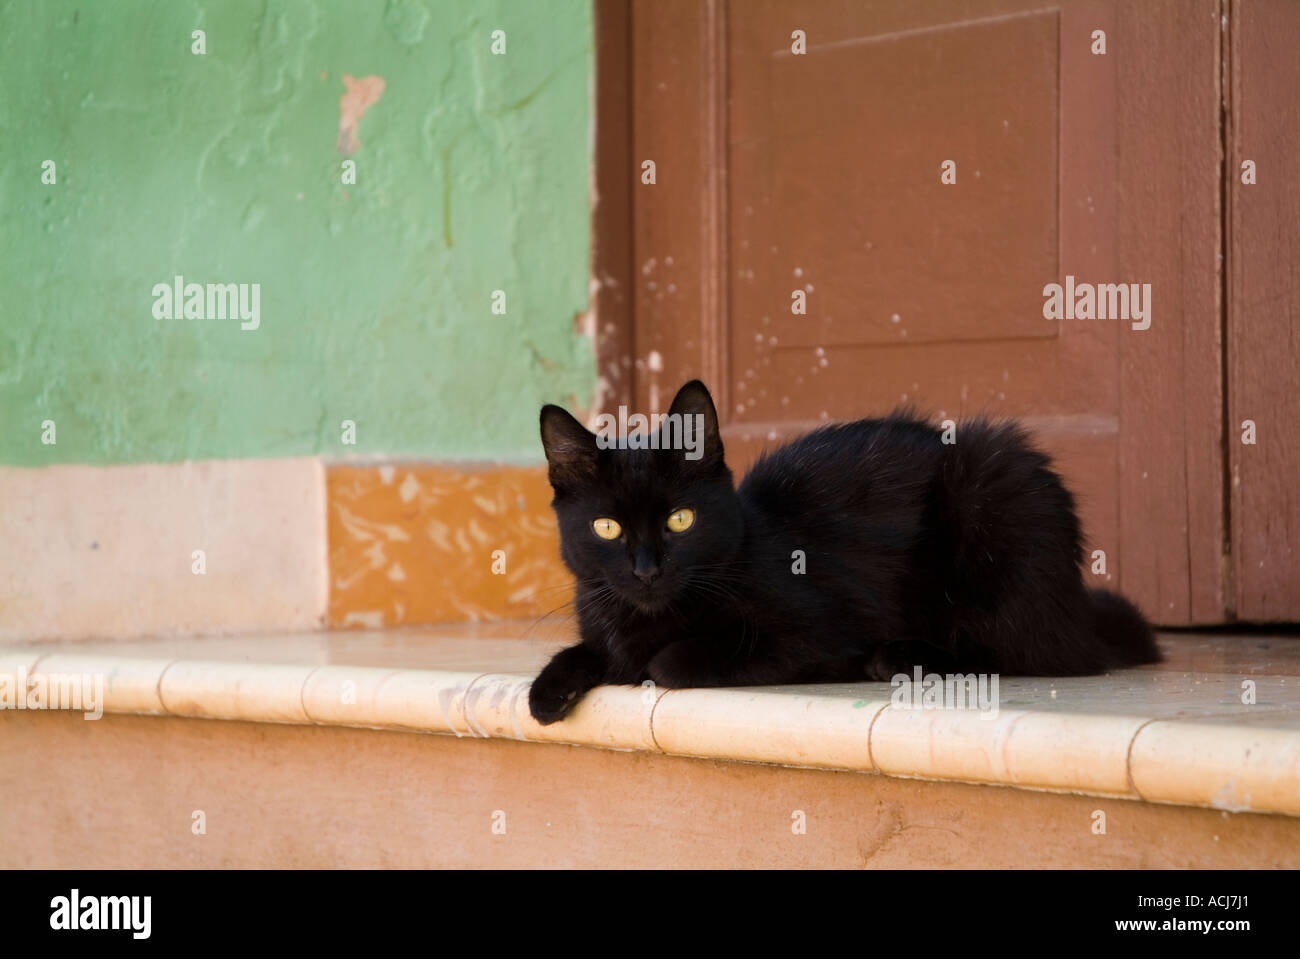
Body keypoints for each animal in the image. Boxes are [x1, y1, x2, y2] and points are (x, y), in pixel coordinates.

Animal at [527, 376, 1159, 722]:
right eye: (607, 528)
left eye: (681, 520)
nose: (646, 570)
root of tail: (1077, 611)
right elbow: (590, 651)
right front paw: (549, 690)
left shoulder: (815, 636)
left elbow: (670, 662)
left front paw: (655, 661)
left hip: (993, 487)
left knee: (1021, 650)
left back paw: (904, 657)